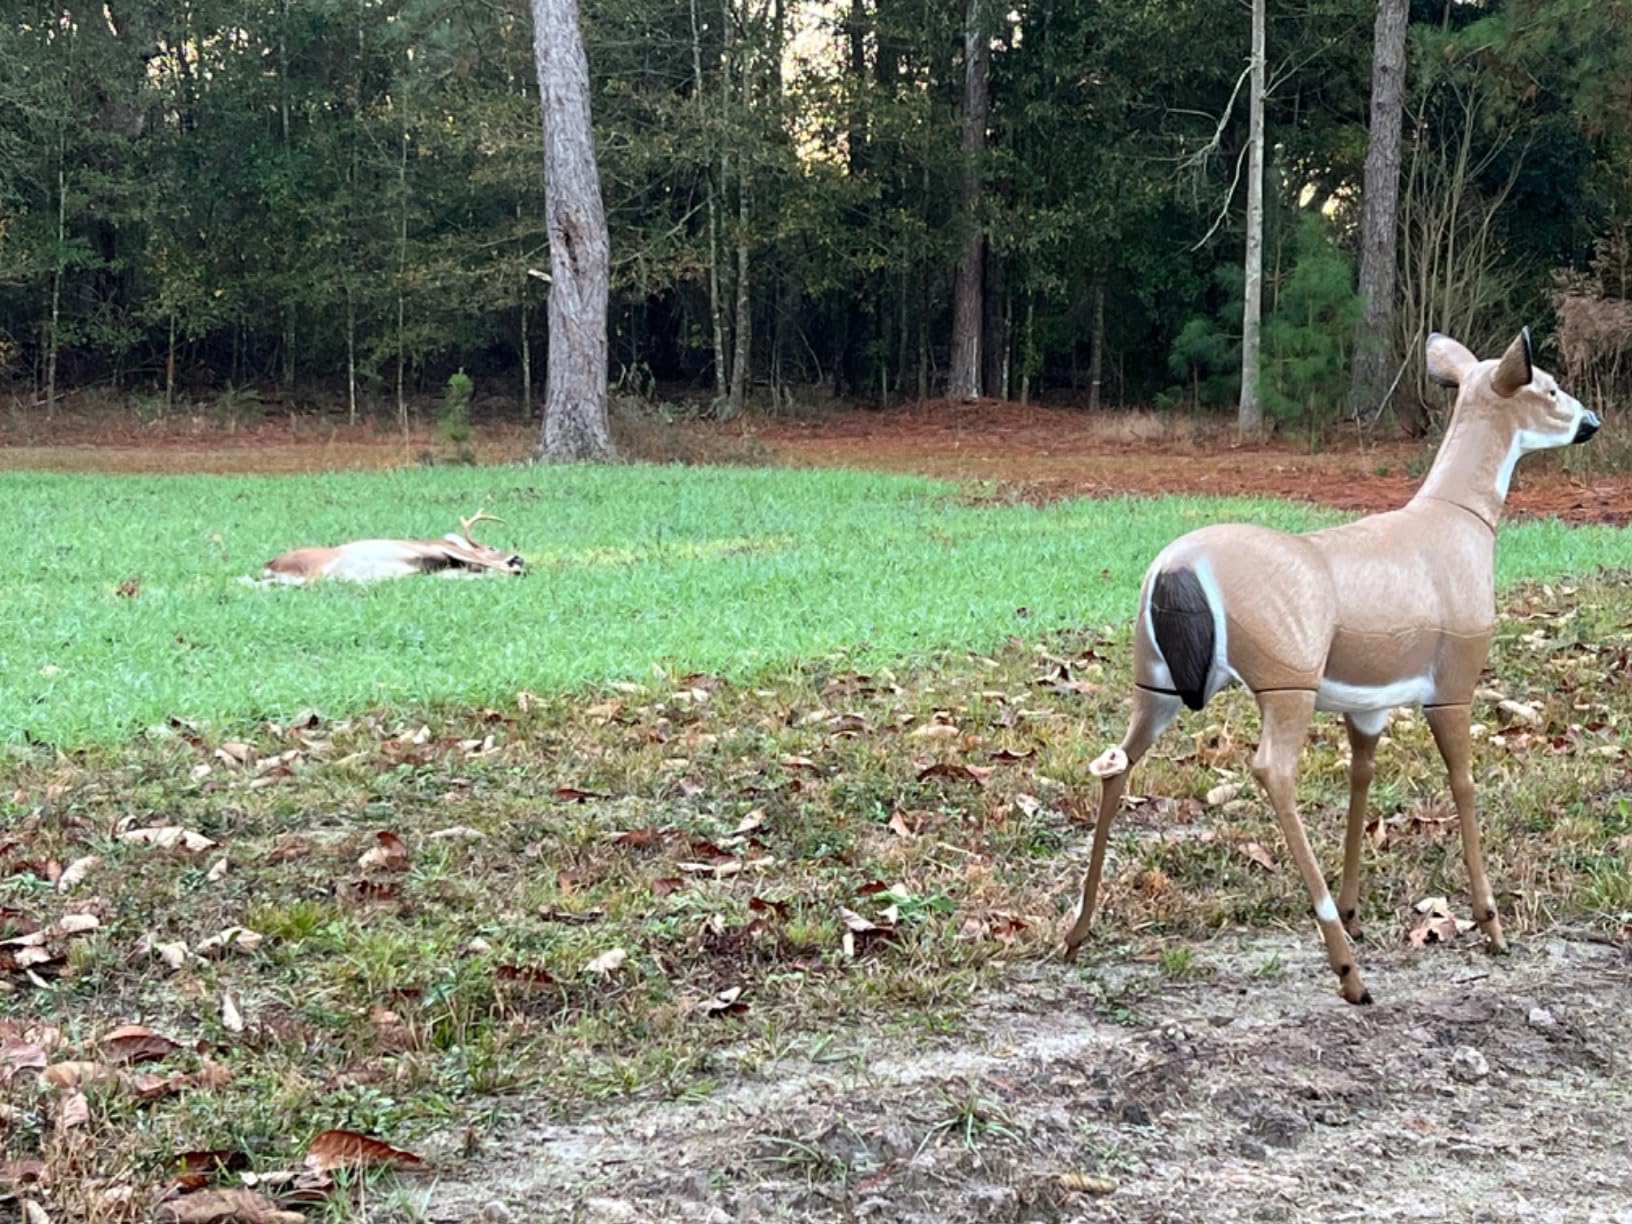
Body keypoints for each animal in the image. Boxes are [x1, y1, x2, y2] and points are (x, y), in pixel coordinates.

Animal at [260, 510, 525, 585]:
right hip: (320, 563)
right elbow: (482, 563)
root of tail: (270, 564)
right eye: (492, 546)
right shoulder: (434, 548)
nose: (518, 558)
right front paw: (512, 569)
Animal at [1062, 329, 1601, 1004]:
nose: (1591, 421)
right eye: (1549, 387)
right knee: (1272, 770)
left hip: (1153, 678)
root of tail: (1171, 570)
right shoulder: (1454, 680)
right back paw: (1348, 973)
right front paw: (1492, 926)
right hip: (1287, 675)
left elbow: (1360, 780)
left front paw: (1354, 910)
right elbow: (1464, 784)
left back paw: (1076, 933)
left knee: (1116, 762)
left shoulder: (1367, 703)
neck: (1459, 528)